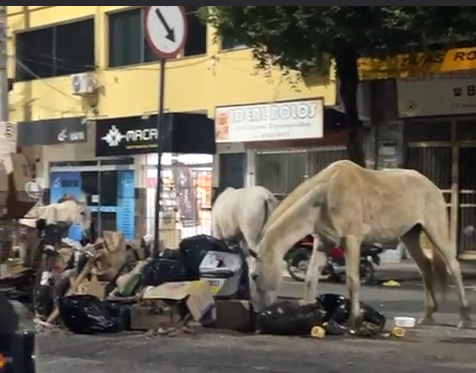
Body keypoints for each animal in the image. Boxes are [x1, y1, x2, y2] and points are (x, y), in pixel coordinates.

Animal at [253, 158, 472, 326]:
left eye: (254, 276)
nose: (260, 311)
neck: (326, 193)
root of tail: (432, 185)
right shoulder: (324, 243)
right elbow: (310, 278)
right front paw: (308, 312)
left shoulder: (352, 241)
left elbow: (353, 280)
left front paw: (355, 319)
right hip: (410, 234)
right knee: (425, 267)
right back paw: (427, 316)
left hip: (435, 229)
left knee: (453, 266)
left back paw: (464, 317)